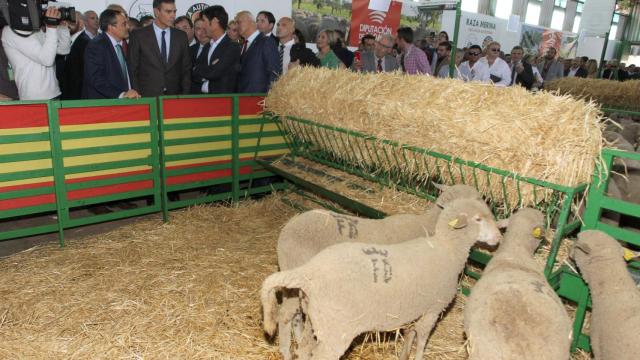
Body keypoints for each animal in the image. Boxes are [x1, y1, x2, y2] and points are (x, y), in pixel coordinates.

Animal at [262, 197, 502, 360]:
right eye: (478, 219)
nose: (499, 237)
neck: (447, 249)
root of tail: (310, 272)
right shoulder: (432, 309)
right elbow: (422, 339)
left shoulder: (414, 309)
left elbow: (410, 334)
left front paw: (404, 354)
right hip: (335, 330)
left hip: (317, 319)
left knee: (304, 347)